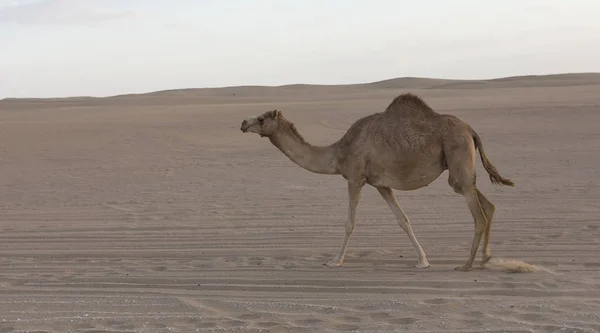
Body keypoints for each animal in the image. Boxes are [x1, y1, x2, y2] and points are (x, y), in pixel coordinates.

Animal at [241, 92, 512, 272]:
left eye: (263, 118)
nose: (243, 122)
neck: (338, 153)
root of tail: (471, 130)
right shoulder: (381, 184)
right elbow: (403, 220)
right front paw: (422, 260)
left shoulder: (354, 177)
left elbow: (350, 223)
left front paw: (335, 260)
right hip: (462, 170)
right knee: (487, 205)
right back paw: (485, 259)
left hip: (458, 159)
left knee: (479, 214)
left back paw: (466, 265)